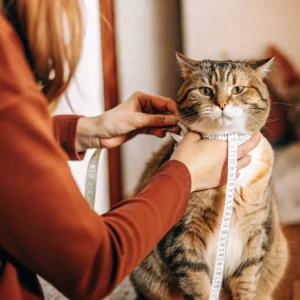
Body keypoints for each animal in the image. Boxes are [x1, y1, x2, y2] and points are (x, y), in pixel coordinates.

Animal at [131, 54, 288, 300]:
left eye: (238, 89)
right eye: (205, 90)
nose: (221, 104)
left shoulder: (255, 235)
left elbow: (247, 281)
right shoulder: (183, 237)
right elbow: (197, 284)